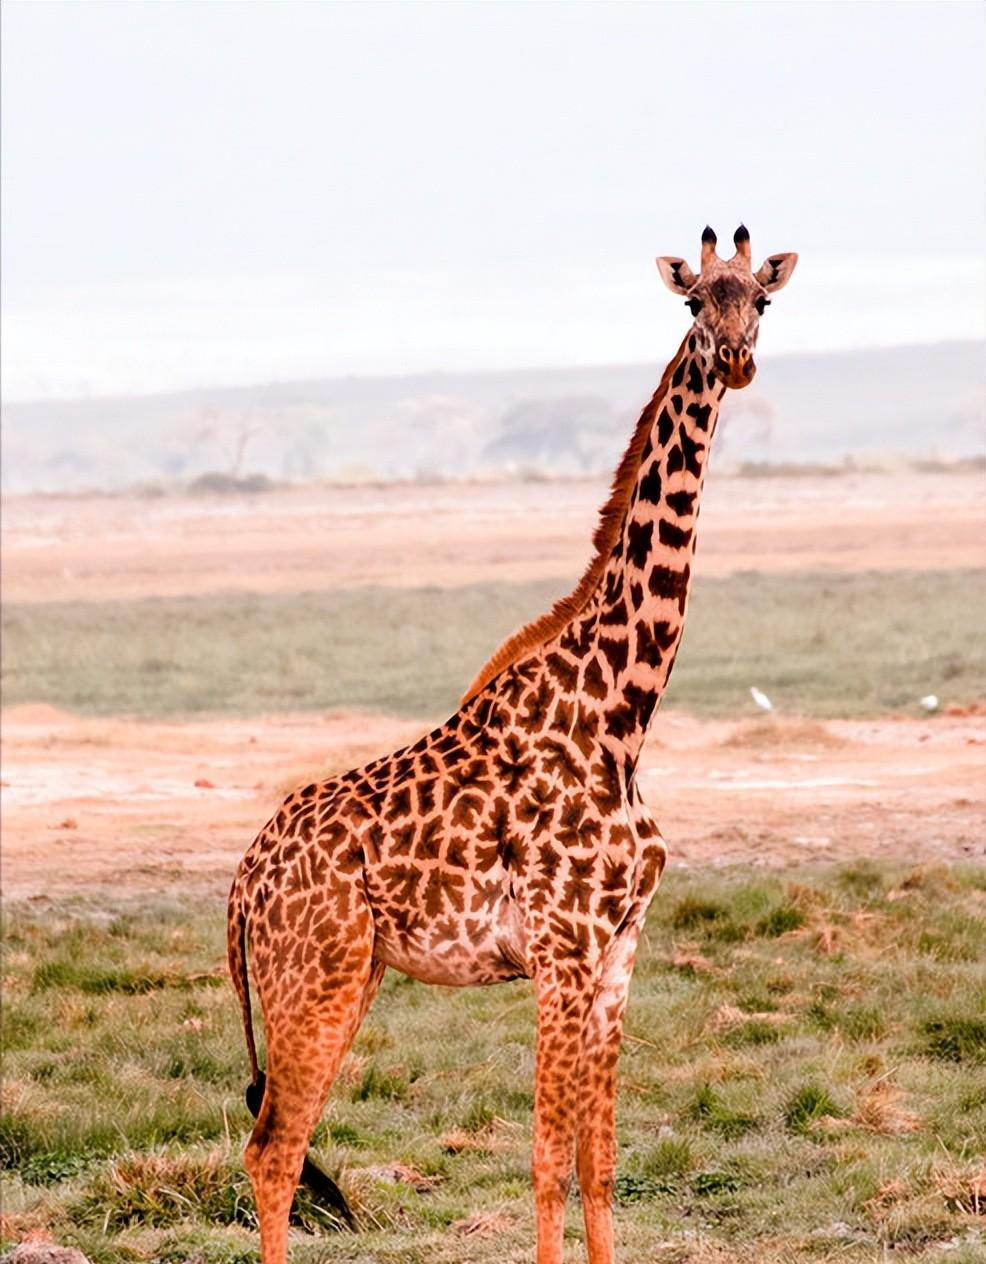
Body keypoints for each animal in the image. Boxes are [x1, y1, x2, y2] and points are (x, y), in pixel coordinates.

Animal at [227, 227, 798, 1264]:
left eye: (763, 302)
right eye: (695, 303)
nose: (737, 361)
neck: (621, 716)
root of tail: (244, 881)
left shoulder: (618, 954)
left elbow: (598, 1164)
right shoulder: (562, 951)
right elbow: (543, 1162)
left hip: (350, 975)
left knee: (277, 1142)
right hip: (312, 977)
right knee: (275, 1149)